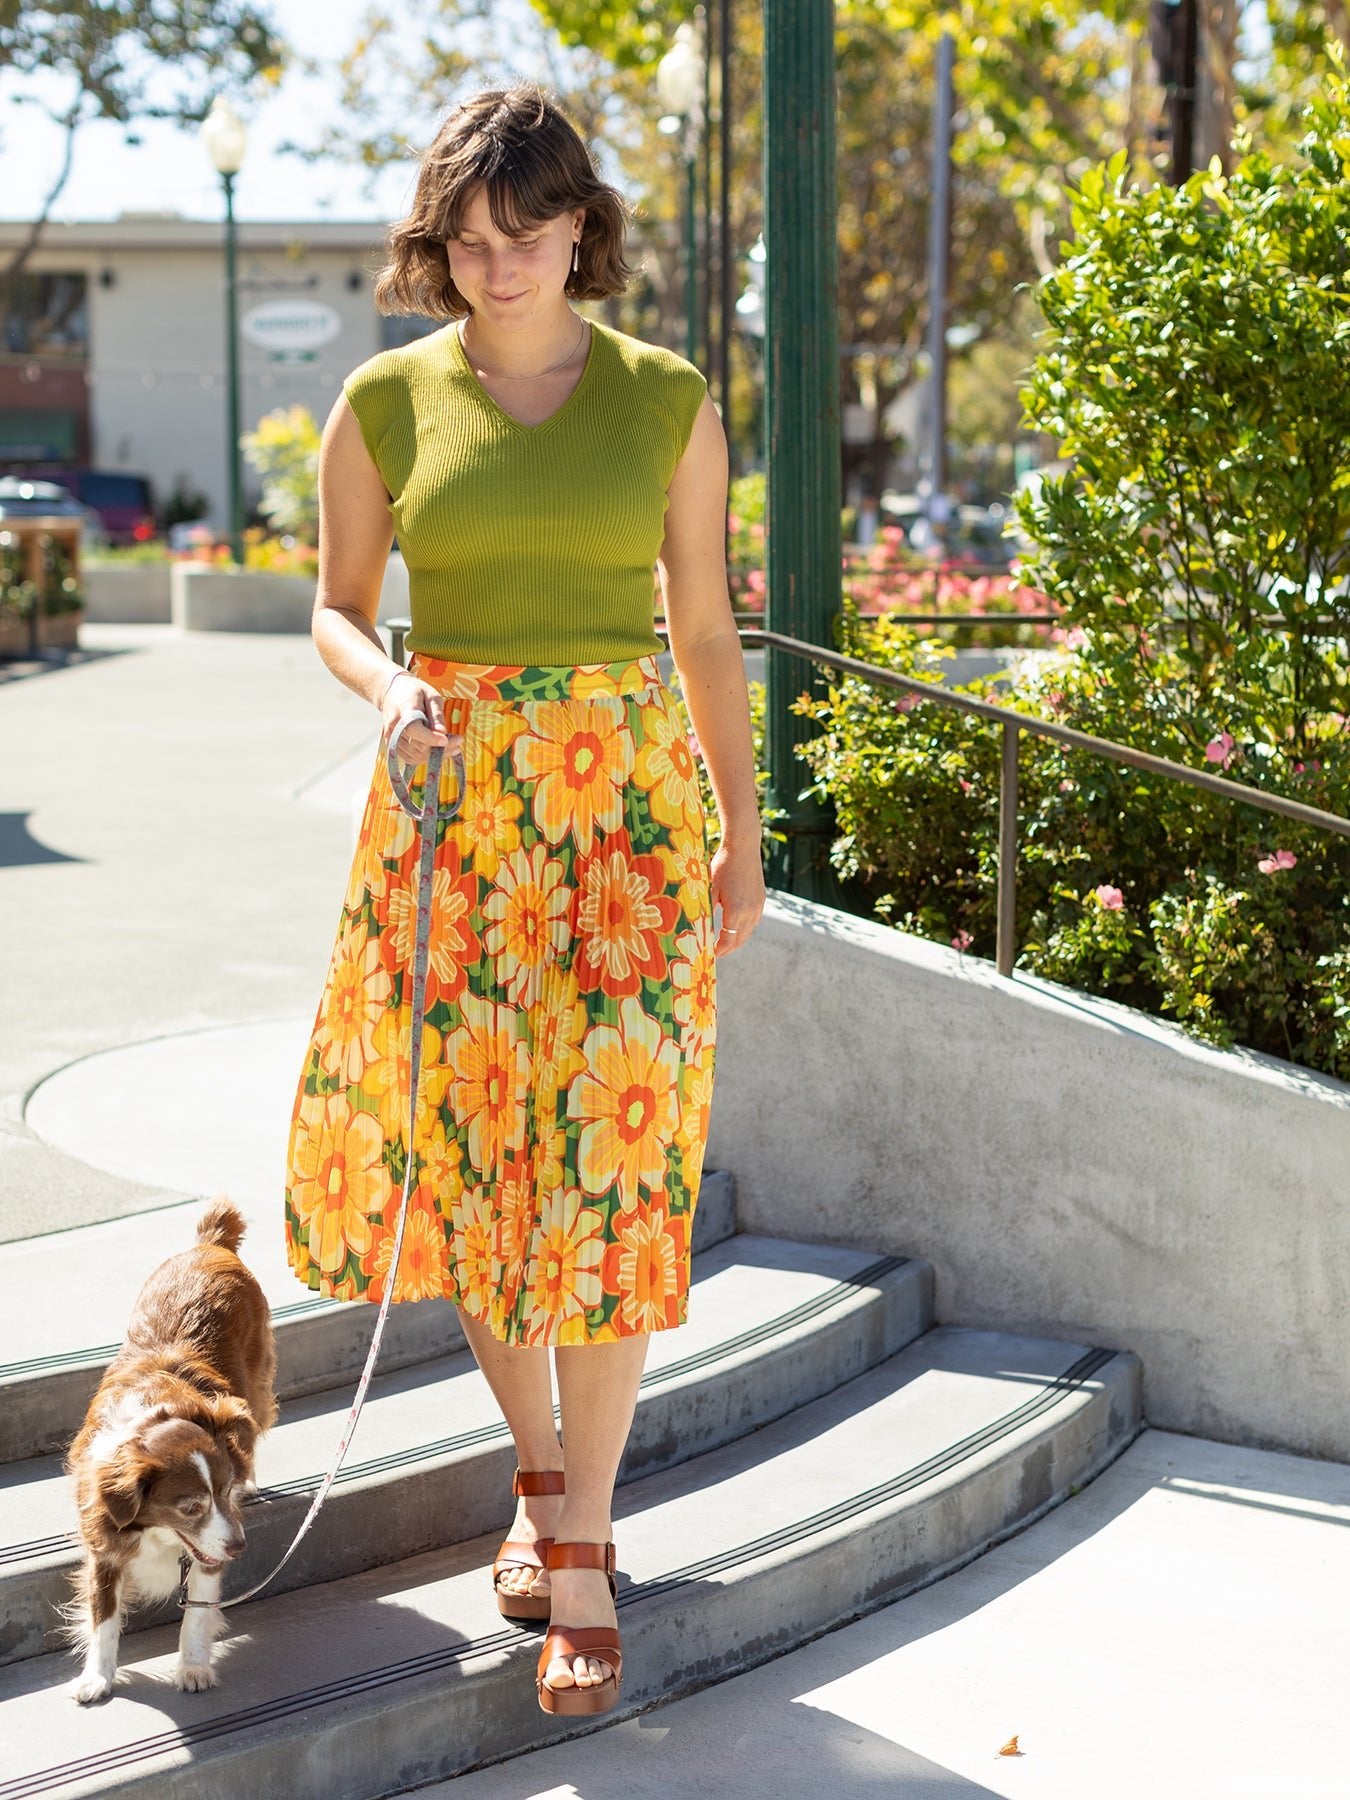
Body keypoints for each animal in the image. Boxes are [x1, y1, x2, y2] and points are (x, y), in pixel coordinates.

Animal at [64, 1195, 275, 1699]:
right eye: (190, 1507)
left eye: (223, 1494)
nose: (240, 1547)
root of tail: (210, 1245)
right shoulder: (103, 1541)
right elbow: (103, 1619)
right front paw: (96, 1678)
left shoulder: (207, 1553)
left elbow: (196, 1614)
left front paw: (193, 1668)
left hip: (254, 1384)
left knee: (253, 1425)